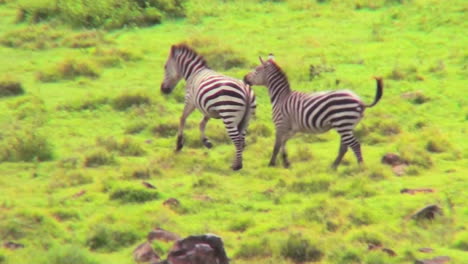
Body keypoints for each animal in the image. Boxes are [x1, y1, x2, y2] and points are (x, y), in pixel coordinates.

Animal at [161, 43, 256, 171]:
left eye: (165, 67)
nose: (163, 90)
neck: (194, 72)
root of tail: (245, 90)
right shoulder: (208, 107)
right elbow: (202, 123)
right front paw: (206, 141)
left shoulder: (190, 100)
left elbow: (182, 118)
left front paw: (179, 144)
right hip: (246, 119)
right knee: (242, 139)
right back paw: (237, 162)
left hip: (229, 114)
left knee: (237, 139)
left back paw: (237, 166)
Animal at [243, 56, 382, 170]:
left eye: (256, 70)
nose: (244, 78)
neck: (281, 97)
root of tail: (360, 101)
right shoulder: (292, 128)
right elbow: (283, 143)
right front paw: (286, 162)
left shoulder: (280, 124)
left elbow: (277, 145)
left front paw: (271, 164)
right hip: (347, 125)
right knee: (345, 147)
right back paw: (334, 166)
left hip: (343, 122)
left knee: (355, 145)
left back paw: (361, 167)